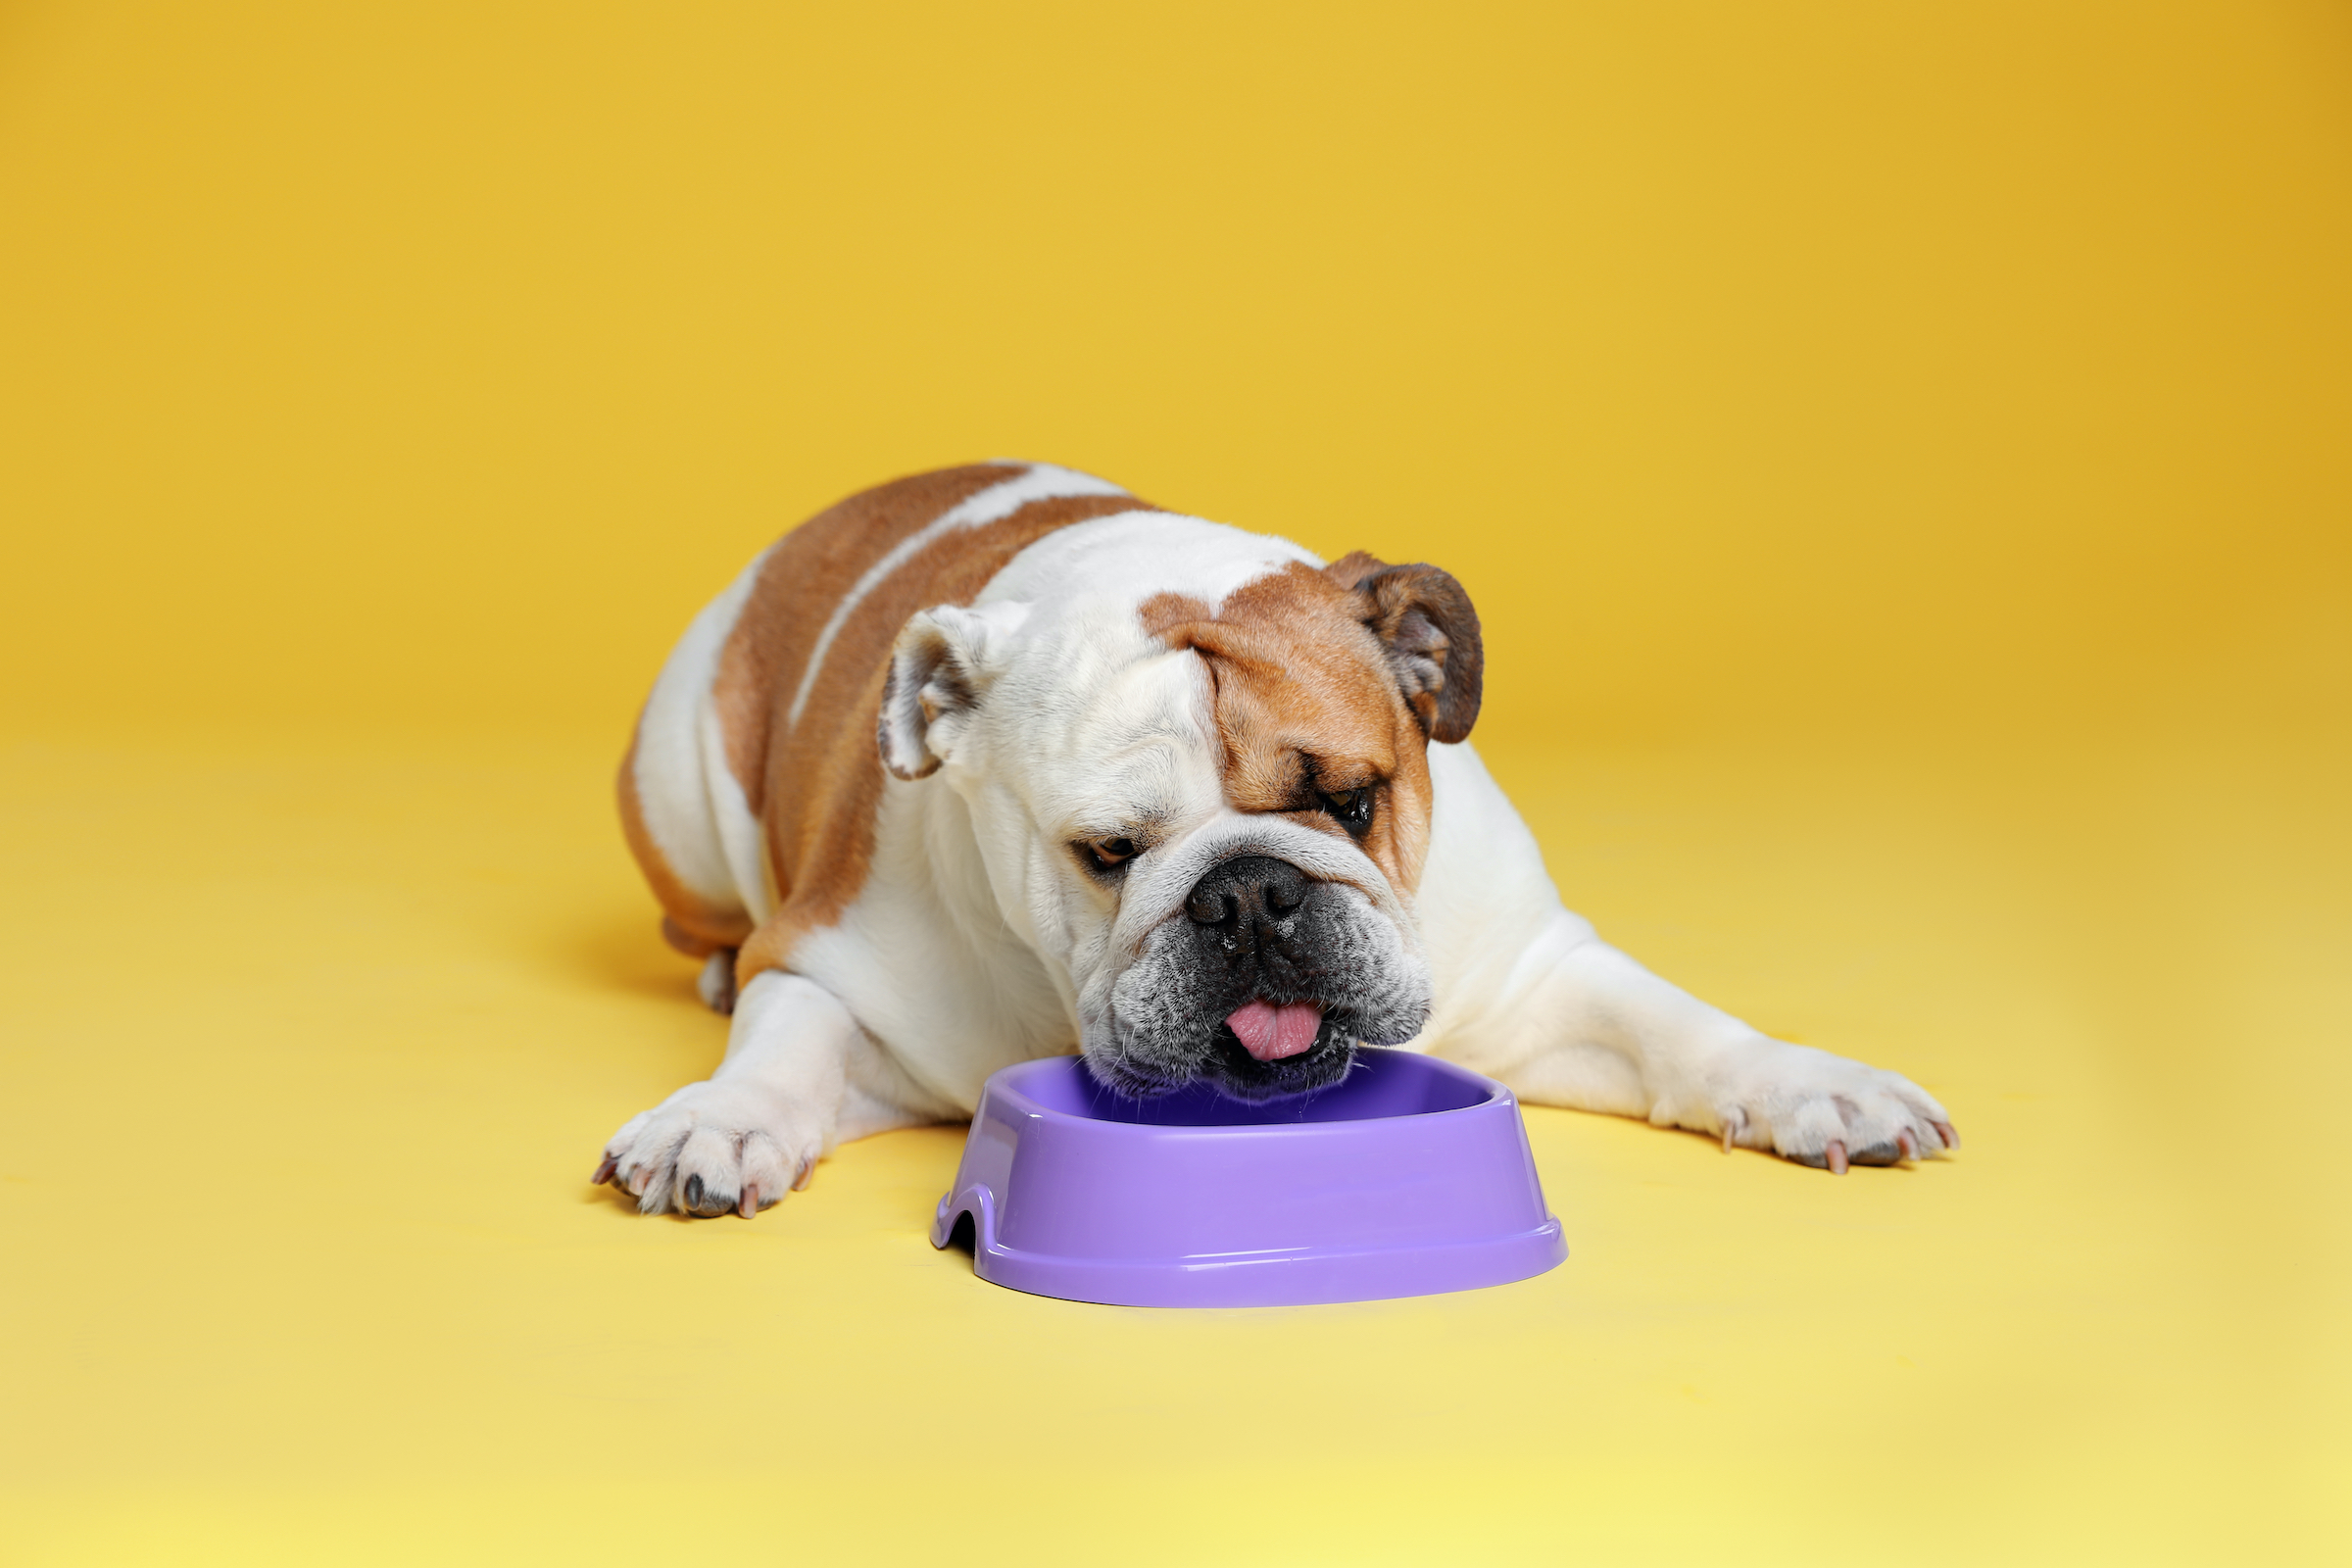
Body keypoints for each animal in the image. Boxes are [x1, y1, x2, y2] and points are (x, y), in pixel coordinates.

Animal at [597, 461, 1956, 1222]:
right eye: (1107, 853)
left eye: (1352, 800)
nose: (1248, 892)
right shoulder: (830, 963)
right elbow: (784, 1043)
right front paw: (719, 1119)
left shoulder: (1536, 976)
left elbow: (1678, 1024)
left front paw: (1811, 1082)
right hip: (677, 793)